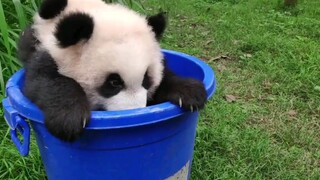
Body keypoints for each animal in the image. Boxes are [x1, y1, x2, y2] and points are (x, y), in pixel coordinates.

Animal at [18, 0, 206, 141]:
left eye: (146, 79)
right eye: (114, 82)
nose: (134, 113)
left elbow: (166, 75)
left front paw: (189, 92)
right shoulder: (42, 53)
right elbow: (44, 81)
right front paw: (69, 119)